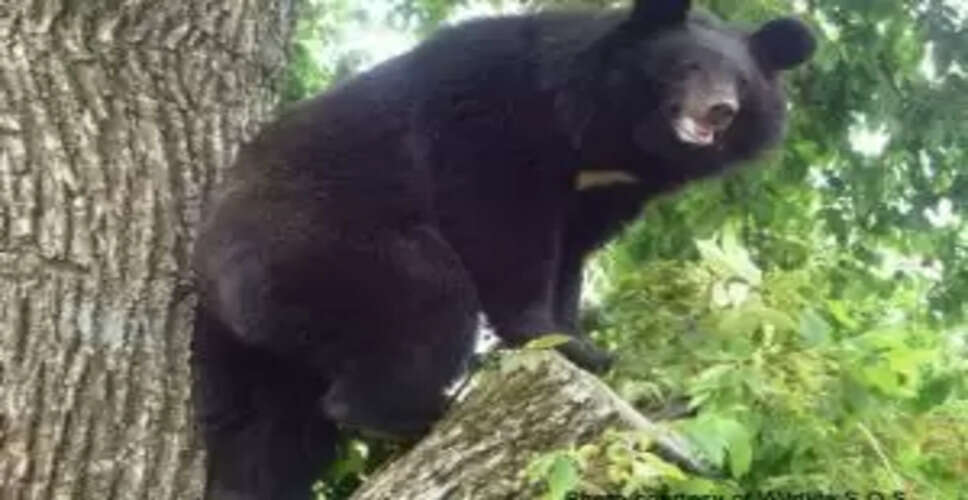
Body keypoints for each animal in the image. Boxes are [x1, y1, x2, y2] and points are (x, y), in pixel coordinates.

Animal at [190, 0, 815, 498]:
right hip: (321, 244)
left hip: (252, 349)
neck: (606, 138)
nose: (719, 111)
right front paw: (551, 337)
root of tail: (211, 273)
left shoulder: (608, 192)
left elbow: (572, 258)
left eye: (741, 85)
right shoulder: (491, 120)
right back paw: (413, 410)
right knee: (428, 296)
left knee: (269, 431)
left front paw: (585, 346)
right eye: (687, 67)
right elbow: (503, 227)